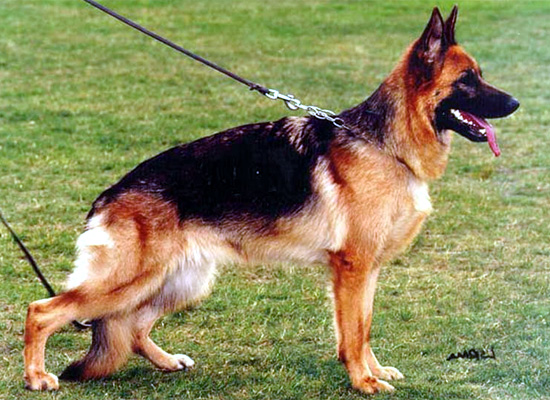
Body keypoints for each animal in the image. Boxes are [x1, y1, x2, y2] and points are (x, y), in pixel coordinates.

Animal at [23, 6, 519, 394]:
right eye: (468, 80)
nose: (516, 103)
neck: (384, 144)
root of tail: (110, 194)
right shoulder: (352, 268)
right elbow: (354, 332)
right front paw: (363, 380)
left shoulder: (368, 269)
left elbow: (364, 327)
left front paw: (374, 372)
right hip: (128, 279)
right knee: (44, 311)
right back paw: (36, 377)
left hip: (181, 280)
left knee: (133, 327)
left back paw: (167, 362)